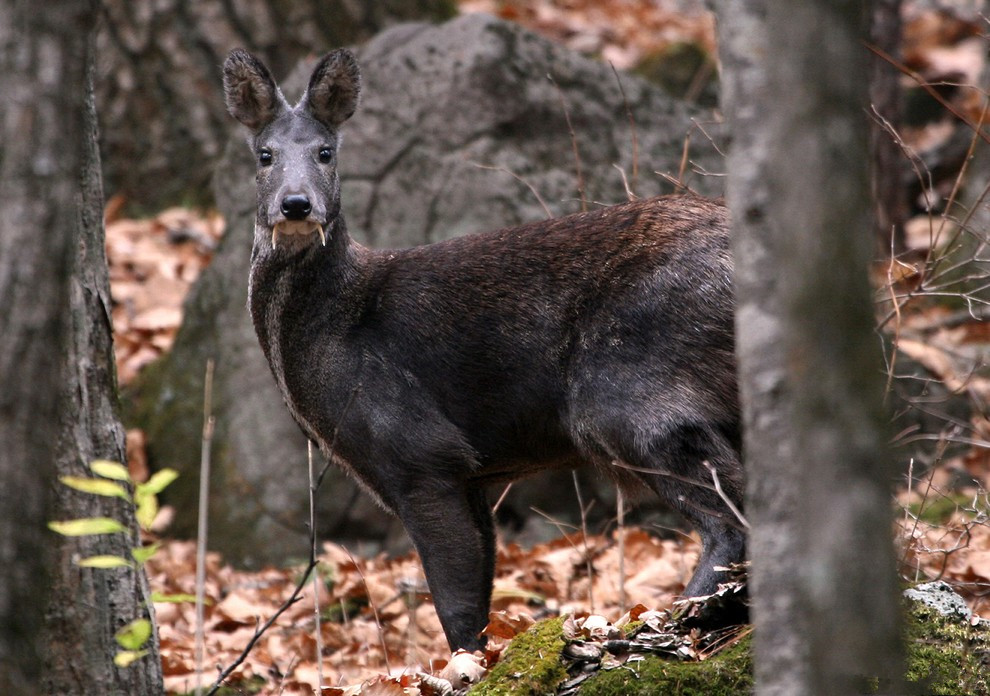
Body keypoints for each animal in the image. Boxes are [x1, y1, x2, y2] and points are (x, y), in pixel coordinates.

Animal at [225, 47, 748, 648]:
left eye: (326, 152)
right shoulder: (465, 474)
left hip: (628, 388)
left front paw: (467, 664)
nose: (295, 205)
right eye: (265, 154)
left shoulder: (420, 451)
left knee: (730, 519)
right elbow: (475, 599)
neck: (339, 324)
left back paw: (669, 622)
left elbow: (454, 608)